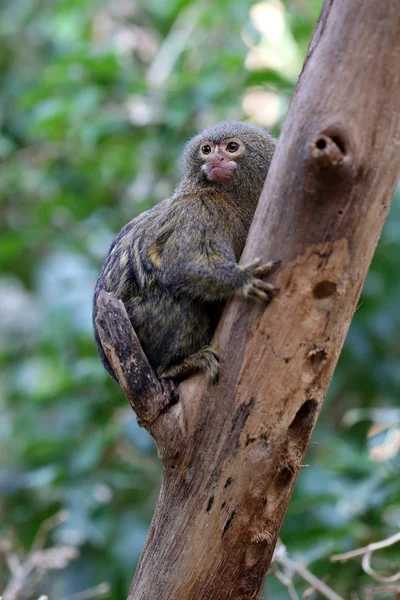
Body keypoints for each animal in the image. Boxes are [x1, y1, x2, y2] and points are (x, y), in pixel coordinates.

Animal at [93, 120, 278, 386]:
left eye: (232, 147)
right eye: (206, 150)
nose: (216, 159)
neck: (231, 199)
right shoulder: (201, 209)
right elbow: (180, 264)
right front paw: (242, 280)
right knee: (175, 296)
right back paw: (178, 365)